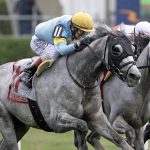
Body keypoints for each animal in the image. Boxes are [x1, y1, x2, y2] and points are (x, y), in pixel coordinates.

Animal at [0, 25, 141, 149]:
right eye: (116, 49)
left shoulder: (96, 118)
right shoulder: (56, 120)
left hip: (21, 124)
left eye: (133, 48)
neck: (80, 78)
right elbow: (82, 127)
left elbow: (119, 139)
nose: (135, 75)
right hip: (6, 121)